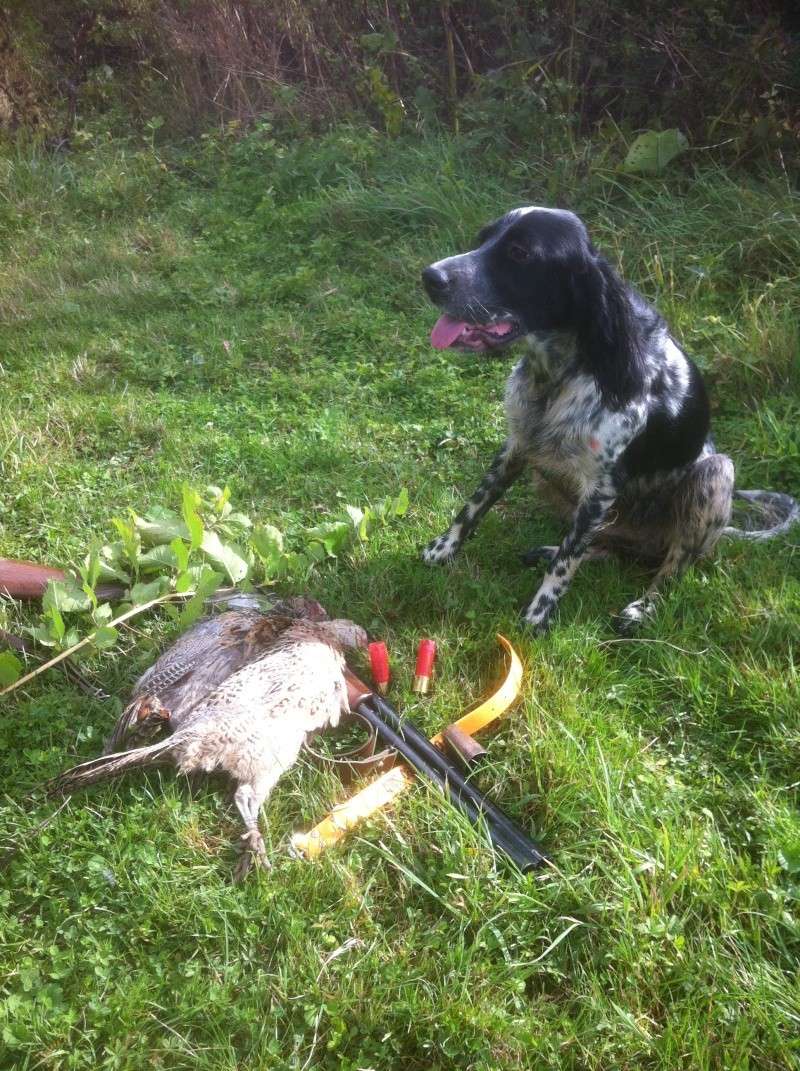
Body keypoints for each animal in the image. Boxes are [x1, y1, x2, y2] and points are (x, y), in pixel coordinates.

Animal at [421, 204, 796, 629]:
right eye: (483, 239)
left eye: (520, 253)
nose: (430, 277)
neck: (561, 372)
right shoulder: (518, 444)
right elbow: (475, 503)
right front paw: (443, 548)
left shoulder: (600, 488)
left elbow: (567, 561)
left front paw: (538, 614)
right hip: (547, 477)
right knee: (603, 547)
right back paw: (551, 550)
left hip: (716, 473)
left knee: (670, 568)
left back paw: (641, 608)